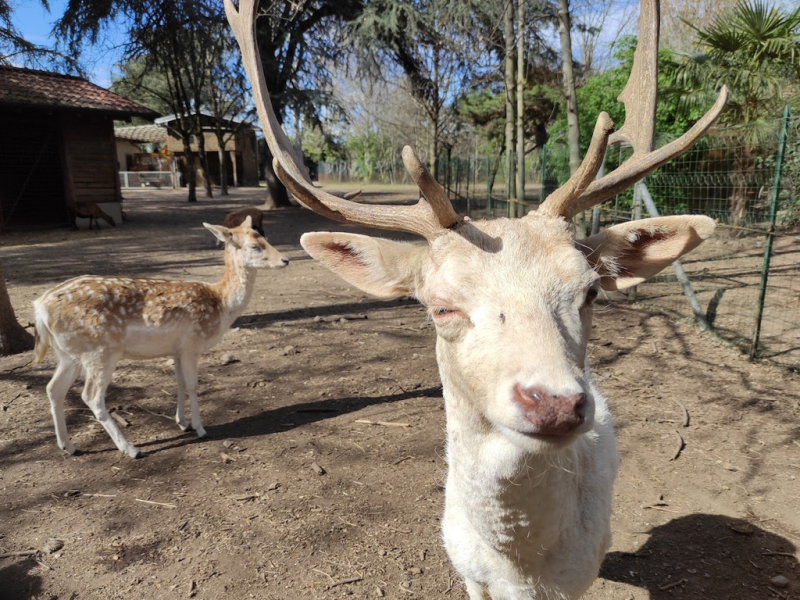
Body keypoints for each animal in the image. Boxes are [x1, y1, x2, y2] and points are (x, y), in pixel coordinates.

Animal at [32, 218, 288, 458]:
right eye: (255, 246)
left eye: (265, 236)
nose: (285, 260)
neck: (222, 304)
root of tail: (40, 307)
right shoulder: (192, 344)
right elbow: (193, 385)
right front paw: (200, 428)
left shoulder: (176, 349)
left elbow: (180, 383)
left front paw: (182, 423)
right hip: (101, 351)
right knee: (91, 396)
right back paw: (130, 448)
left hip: (68, 353)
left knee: (53, 388)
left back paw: (68, 446)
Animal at [223, 0, 724, 596]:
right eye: (440, 306)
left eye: (591, 291)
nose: (555, 403)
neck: (521, 572)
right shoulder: (468, 574)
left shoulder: (578, 579)